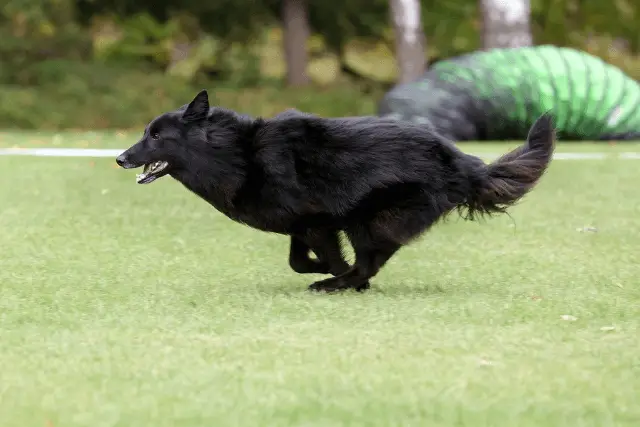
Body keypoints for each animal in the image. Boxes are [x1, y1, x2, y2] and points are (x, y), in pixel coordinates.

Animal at [115, 89, 556, 292]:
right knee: (373, 259)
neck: (238, 155)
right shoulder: (304, 225)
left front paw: (334, 274)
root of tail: (462, 161)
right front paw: (325, 270)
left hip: (371, 218)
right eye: (145, 132)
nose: (119, 158)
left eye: (157, 136)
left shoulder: (320, 223)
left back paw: (338, 284)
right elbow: (298, 260)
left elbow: (326, 258)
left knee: (370, 260)